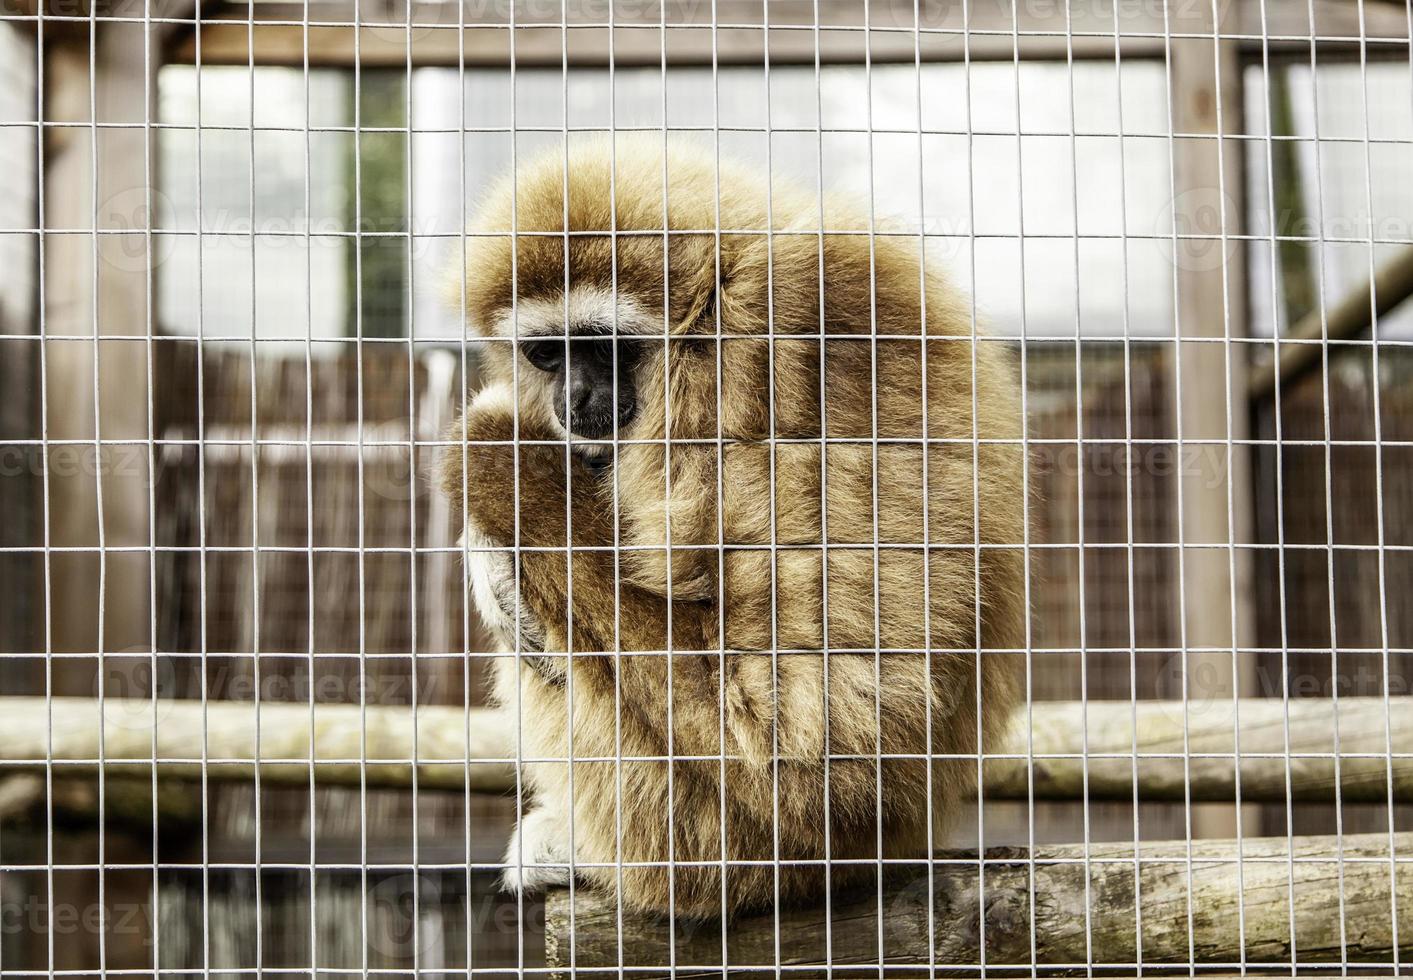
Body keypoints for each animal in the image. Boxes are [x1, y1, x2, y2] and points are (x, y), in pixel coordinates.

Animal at [440, 138, 1028, 920]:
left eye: (603, 345)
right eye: (547, 352)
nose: (574, 395)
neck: (708, 310)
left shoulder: (779, 344)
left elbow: (815, 732)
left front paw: (495, 443)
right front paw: (484, 556)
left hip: (721, 842)